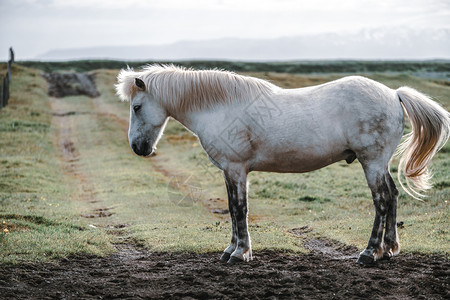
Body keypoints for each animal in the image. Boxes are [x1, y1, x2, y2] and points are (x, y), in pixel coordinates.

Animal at [117, 65, 450, 264]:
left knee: (381, 200)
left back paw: (369, 253)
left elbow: (239, 209)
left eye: (137, 107)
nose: (138, 148)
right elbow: (232, 208)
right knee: (392, 196)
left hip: (372, 162)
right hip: (379, 164)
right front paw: (231, 250)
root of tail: (394, 94)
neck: (220, 107)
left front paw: (240, 253)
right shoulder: (230, 172)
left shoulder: (236, 169)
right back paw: (389, 249)